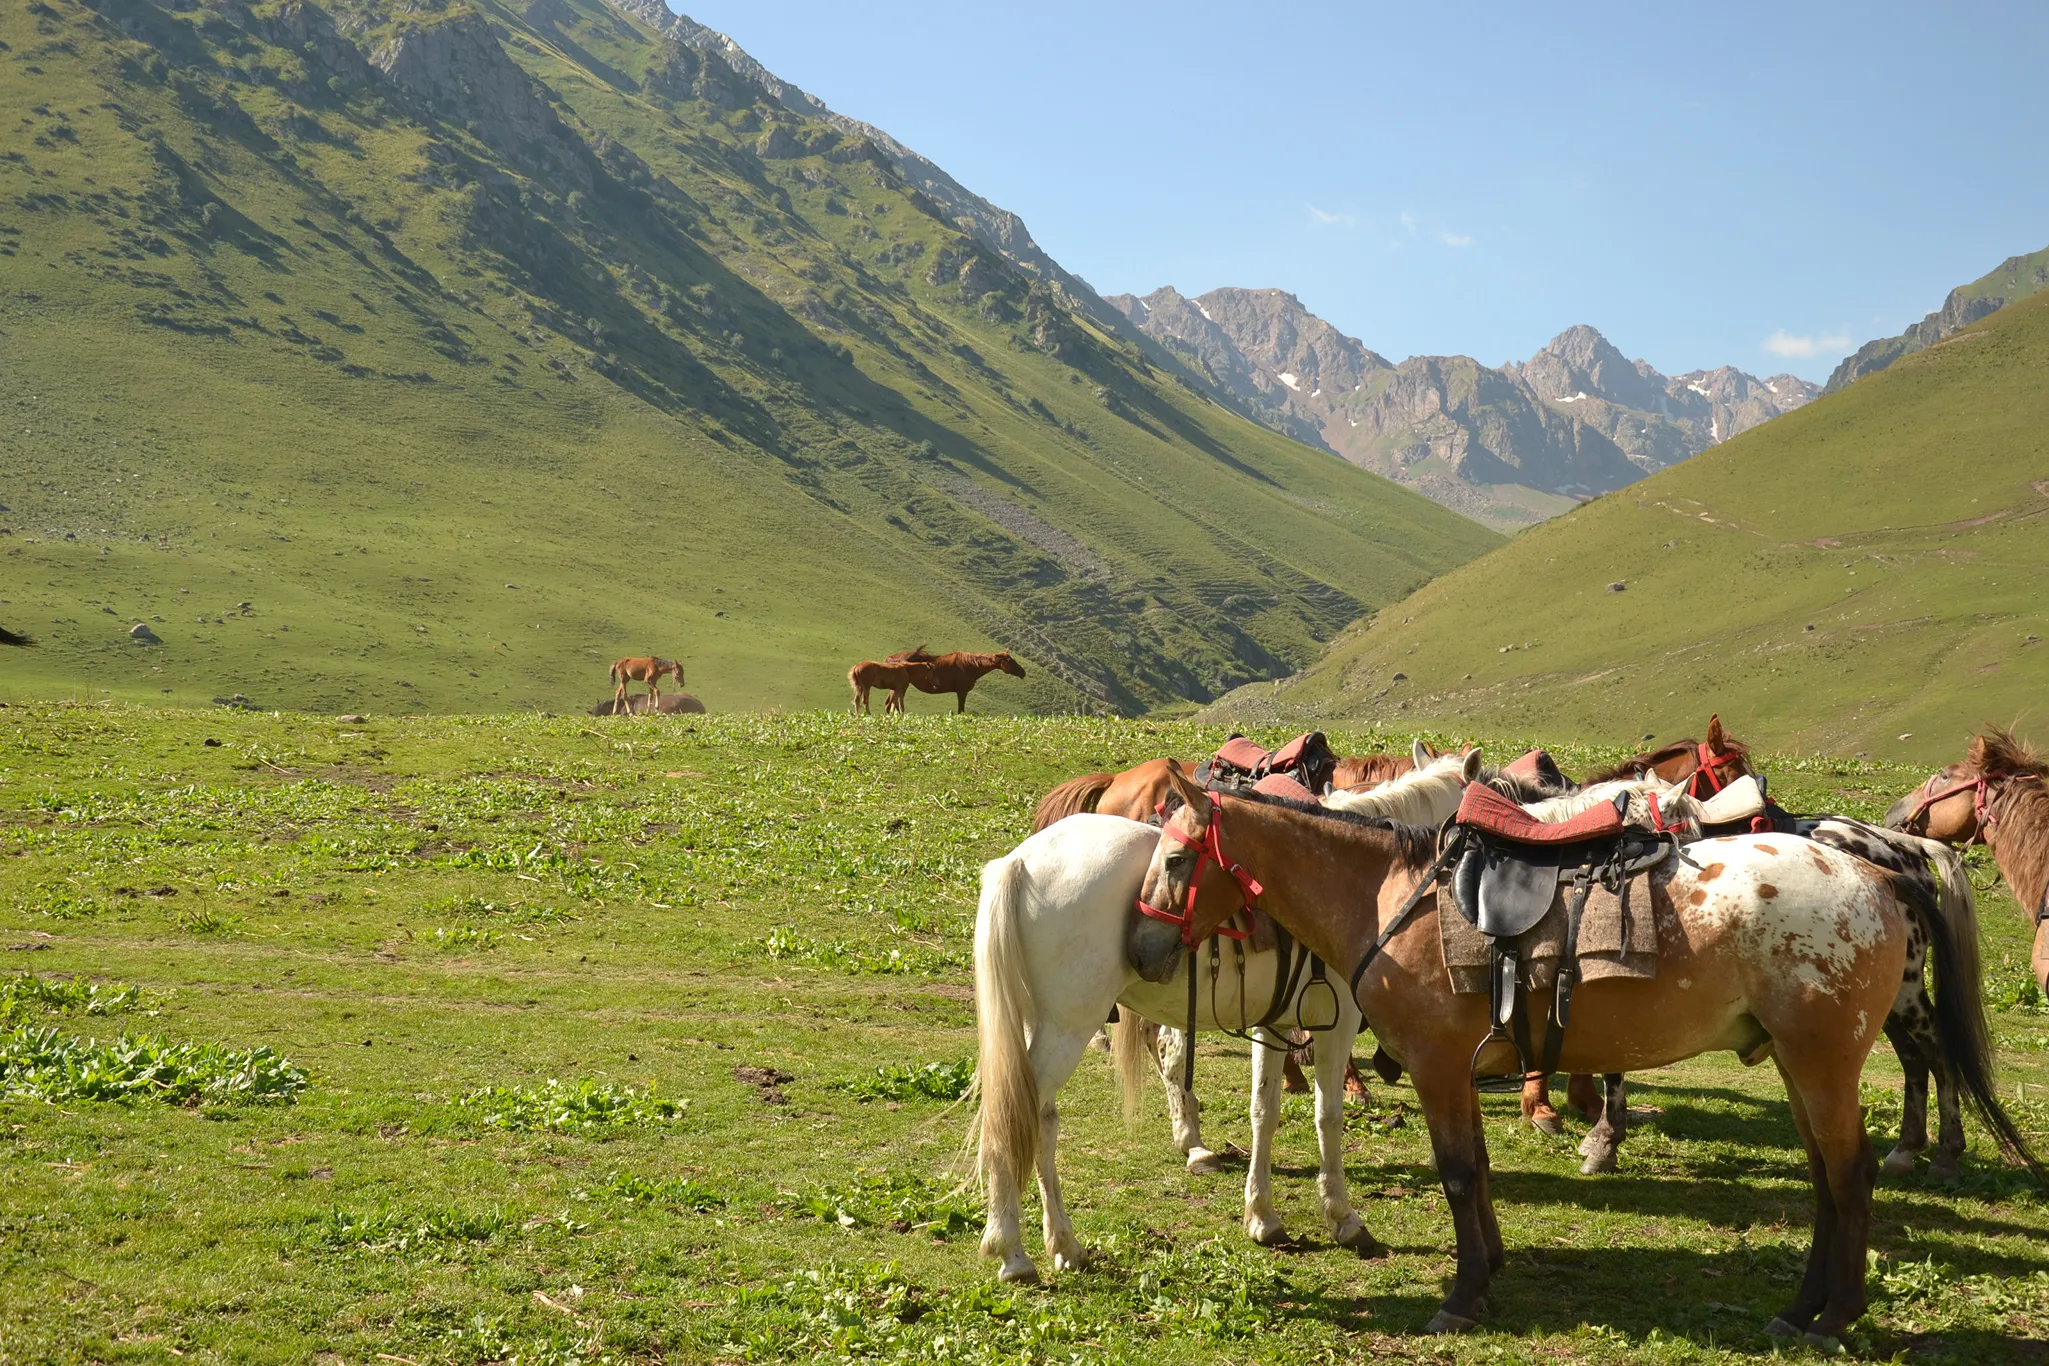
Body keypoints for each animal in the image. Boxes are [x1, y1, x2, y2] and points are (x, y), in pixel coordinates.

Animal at [1122, 765, 2032, 1347]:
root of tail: (1878, 873)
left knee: (1849, 1174)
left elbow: (1458, 1174)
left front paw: (1461, 1296)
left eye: (1176, 858)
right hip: (1798, 1062)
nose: (1141, 952)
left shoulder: (1436, 1066)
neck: (1387, 893)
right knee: (1825, 1180)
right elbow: (1479, 1168)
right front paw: (1489, 1266)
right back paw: (1799, 1309)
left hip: (1823, 1060)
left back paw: (1835, 1316)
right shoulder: (1457, 1069)